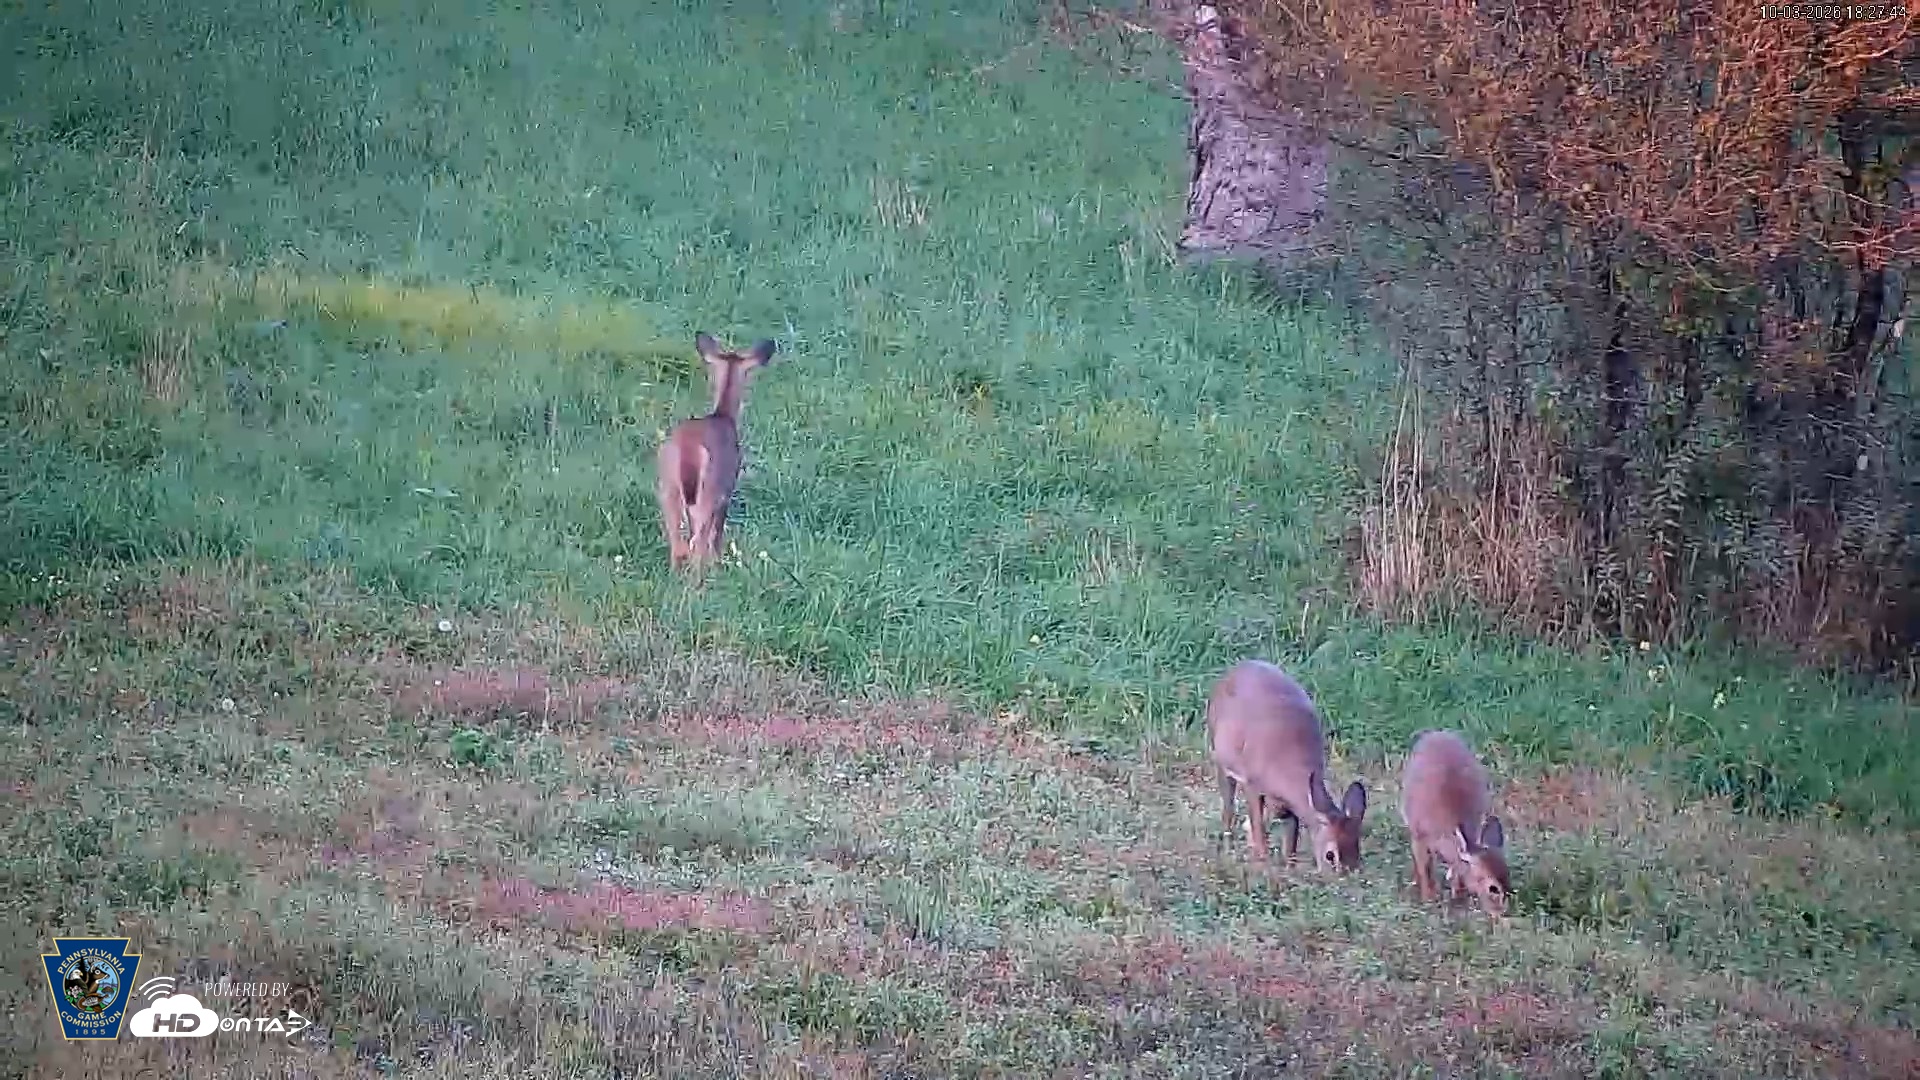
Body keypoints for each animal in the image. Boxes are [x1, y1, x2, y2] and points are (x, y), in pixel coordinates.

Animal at [655, 332, 777, 572]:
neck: (724, 415)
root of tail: (688, 449)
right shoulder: (727, 488)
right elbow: (718, 532)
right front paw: (719, 562)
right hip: (708, 491)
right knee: (697, 543)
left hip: (668, 486)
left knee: (677, 542)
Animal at [1199, 659, 1369, 872]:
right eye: (1330, 855)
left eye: (1357, 851)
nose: (1346, 875)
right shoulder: (1252, 784)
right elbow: (1259, 830)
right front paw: (1263, 863)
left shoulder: (1290, 806)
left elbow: (1291, 841)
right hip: (1221, 760)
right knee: (1229, 808)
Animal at [1400, 729, 1510, 915]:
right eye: (1493, 888)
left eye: (1508, 876)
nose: (1501, 912)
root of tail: (1436, 734)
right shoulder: (1419, 837)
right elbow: (1424, 867)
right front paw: (1428, 898)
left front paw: (1457, 894)